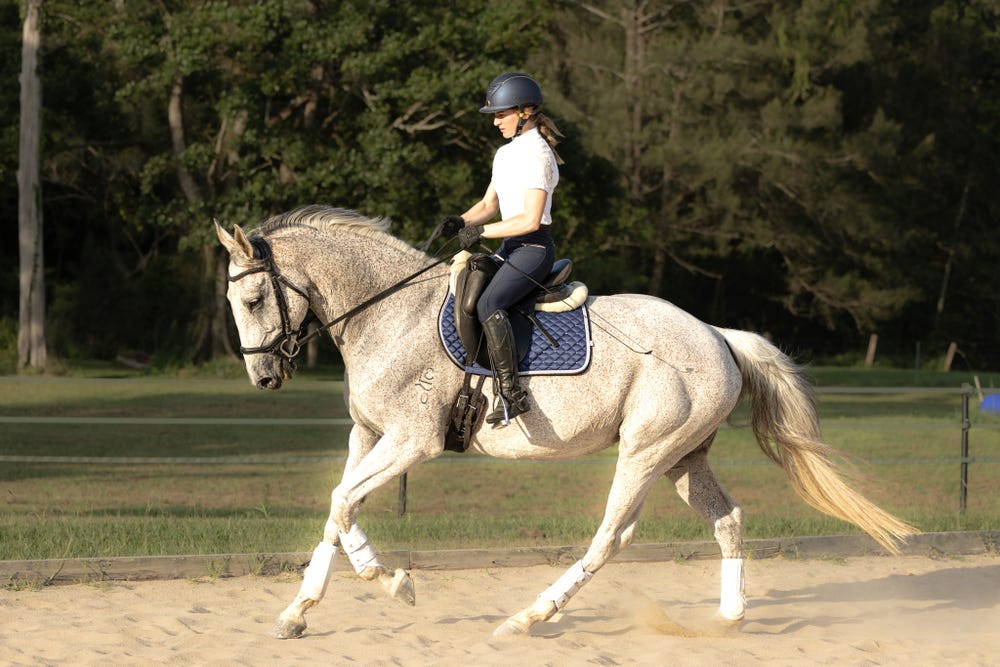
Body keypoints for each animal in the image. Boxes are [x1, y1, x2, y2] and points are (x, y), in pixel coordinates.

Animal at [215, 204, 917, 639]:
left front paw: (392, 584)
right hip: (683, 459)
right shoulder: (367, 435)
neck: (388, 313)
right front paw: (299, 612)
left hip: (644, 452)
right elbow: (338, 509)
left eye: (254, 296)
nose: (264, 378)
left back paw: (530, 617)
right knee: (728, 519)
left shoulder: (411, 441)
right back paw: (729, 618)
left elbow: (342, 504)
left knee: (611, 537)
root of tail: (717, 335)